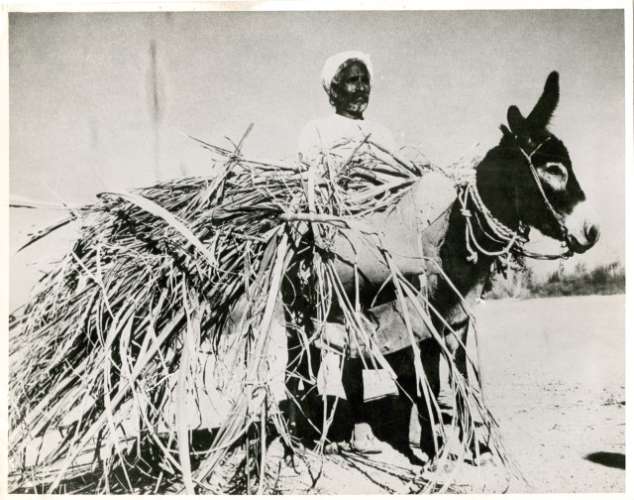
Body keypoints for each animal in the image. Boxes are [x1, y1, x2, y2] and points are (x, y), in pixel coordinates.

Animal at [282, 71, 600, 460]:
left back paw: (346, 435)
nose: (592, 231)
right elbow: (430, 381)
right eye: (553, 169)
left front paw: (473, 445)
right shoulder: (423, 320)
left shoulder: (457, 320)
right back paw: (299, 440)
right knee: (295, 372)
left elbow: (458, 375)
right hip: (297, 316)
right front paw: (436, 450)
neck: (455, 236)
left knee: (342, 365)